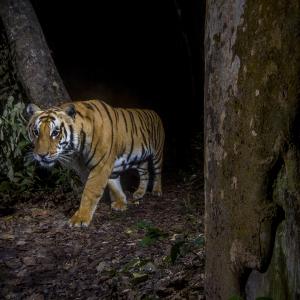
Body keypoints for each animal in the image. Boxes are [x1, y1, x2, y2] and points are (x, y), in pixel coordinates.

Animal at [26, 99, 165, 226]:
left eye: (55, 132)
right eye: (36, 132)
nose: (41, 155)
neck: (78, 150)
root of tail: (154, 112)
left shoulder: (101, 165)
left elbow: (90, 192)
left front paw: (80, 218)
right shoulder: (105, 166)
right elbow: (113, 184)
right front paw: (121, 203)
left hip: (157, 152)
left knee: (158, 172)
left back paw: (157, 191)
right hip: (140, 158)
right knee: (145, 172)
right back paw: (139, 193)